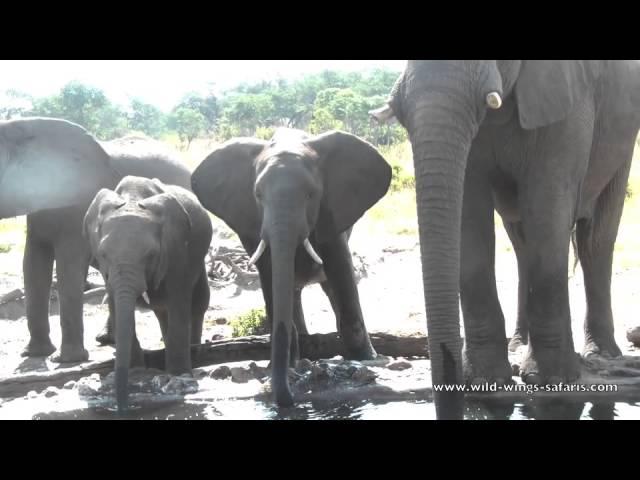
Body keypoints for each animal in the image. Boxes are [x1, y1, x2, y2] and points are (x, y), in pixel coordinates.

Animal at [0, 117, 192, 364]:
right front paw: (35, 353)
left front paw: (67, 360)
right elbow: (33, 264)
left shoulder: (76, 202)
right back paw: (107, 339)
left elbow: (69, 264)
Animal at [81, 174, 212, 410]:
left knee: (198, 302)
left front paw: (178, 375)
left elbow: (179, 300)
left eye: (151, 254)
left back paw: (194, 350)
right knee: (162, 311)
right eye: (103, 254)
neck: (133, 199)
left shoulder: (177, 249)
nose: (122, 408)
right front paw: (136, 372)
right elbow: (115, 303)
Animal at [190, 126, 390, 404]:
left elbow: (340, 266)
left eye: (311, 194)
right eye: (258, 195)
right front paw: (289, 362)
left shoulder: (332, 211)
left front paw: (367, 360)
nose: (289, 400)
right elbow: (270, 273)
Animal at [370, 61, 640, 420]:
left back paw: (603, 355)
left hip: (622, 138)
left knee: (595, 238)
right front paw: (485, 381)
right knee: (523, 245)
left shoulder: (566, 94)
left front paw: (550, 380)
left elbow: (547, 202)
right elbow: (468, 208)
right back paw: (517, 345)